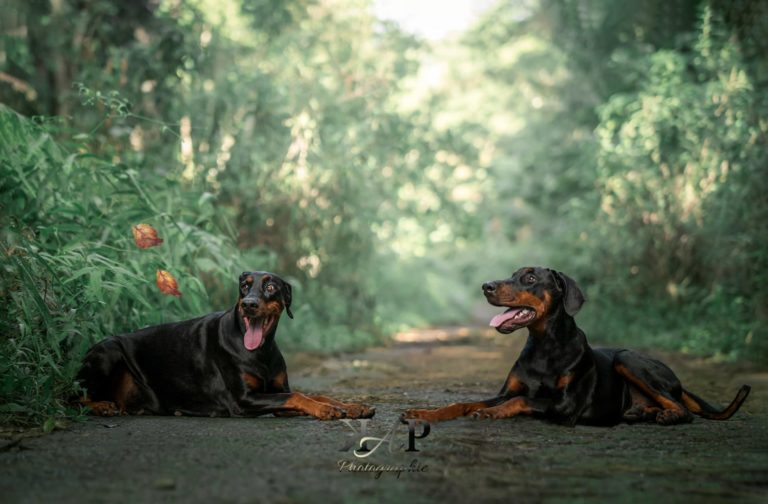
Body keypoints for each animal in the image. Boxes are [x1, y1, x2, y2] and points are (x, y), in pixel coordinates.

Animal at [77, 270, 376, 420]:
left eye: (270, 287)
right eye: (244, 286)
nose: (249, 304)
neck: (260, 351)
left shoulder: (277, 389)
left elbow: (314, 395)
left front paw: (350, 406)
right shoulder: (243, 400)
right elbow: (299, 396)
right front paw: (327, 410)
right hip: (107, 353)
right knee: (75, 396)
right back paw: (101, 406)